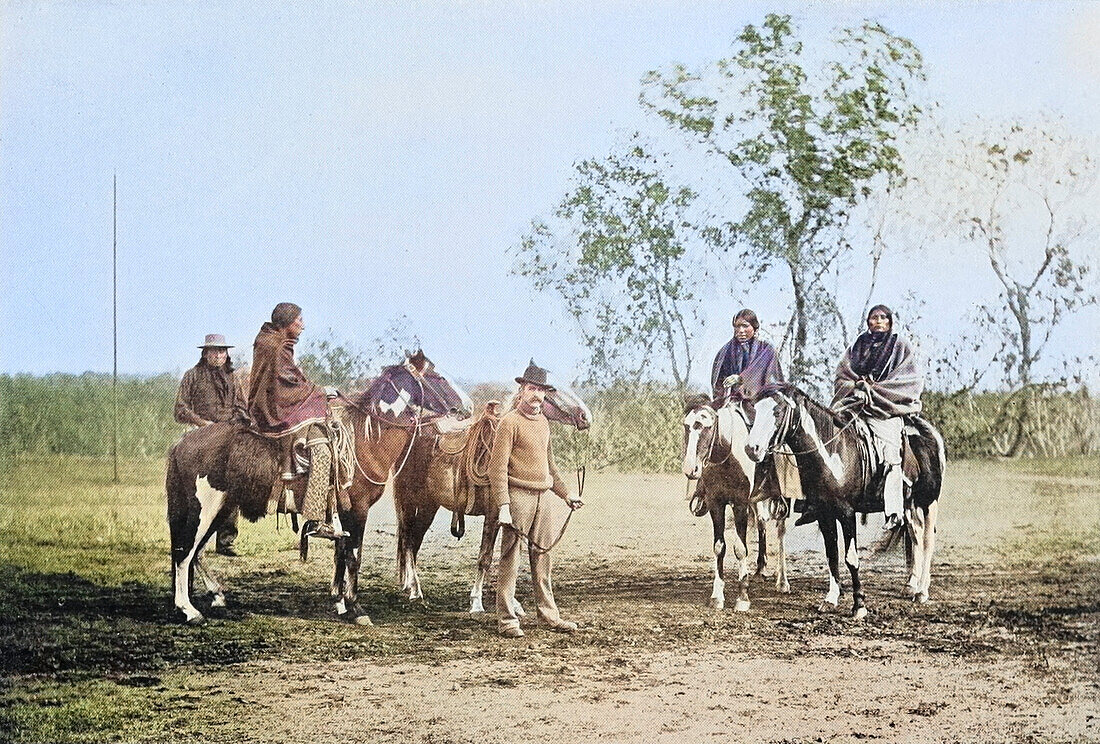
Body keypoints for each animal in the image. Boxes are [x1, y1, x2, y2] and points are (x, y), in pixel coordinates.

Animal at [167, 352, 468, 625]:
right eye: (437, 377)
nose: (468, 405)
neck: (366, 440)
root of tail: (182, 443)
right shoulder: (357, 510)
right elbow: (353, 556)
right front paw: (356, 608)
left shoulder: (342, 511)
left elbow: (341, 554)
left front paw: (340, 602)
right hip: (203, 507)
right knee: (184, 552)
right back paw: (189, 611)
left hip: (220, 508)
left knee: (196, 552)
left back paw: (215, 596)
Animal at [391, 380, 589, 611]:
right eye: (552, 389)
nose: (585, 417)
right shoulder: (493, 514)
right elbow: (485, 558)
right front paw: (476, 601)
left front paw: (513, 603)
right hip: (410, 502)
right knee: (408, 542)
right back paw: (416, 591)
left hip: (428, 506)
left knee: (414, 542)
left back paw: (410, 586)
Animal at [677, 396, 792, 611]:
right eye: (686, 425)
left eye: (707, 426)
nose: (690, 469)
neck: (728, 455)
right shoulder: (716, 503)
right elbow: (719, 547)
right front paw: (717, 596)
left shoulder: (740, 504)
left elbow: (740, 548)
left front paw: (742, 597)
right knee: (762, 522)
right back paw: (760, 570)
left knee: (781, 532)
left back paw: (782, 582)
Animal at [748, 383, 946, 616]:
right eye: (755, 409)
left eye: (777, 411)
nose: (752, 449)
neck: (831, 453)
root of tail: (930, 433)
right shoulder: (824, 514)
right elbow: (832, 555)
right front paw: (831, 598)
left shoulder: (846, 513)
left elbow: (851, 558)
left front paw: (859, 605)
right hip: (908, 505)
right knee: (915, 536)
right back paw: (911, 584)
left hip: (928, 502)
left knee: (927, 541)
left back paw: (922, 591)